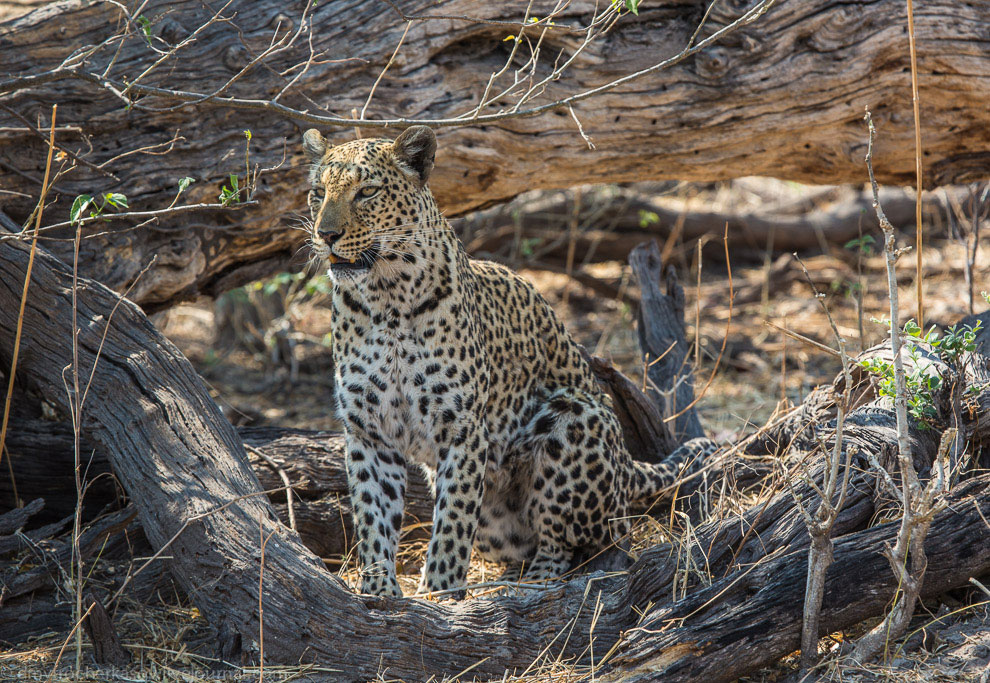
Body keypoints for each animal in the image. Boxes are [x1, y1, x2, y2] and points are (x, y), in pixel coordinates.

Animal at [302, 125, 712, 596]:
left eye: (367, 192)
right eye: (318, 192)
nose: (326, 235)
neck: (385, 297)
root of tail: (629, 465)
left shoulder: (462, 432)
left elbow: (451, 527)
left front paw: (441, 593)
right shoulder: (369, 433)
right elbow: (374, 516)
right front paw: (378, 592)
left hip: (576, 417)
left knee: (570, 541)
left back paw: (531, 587)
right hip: (495, 526)